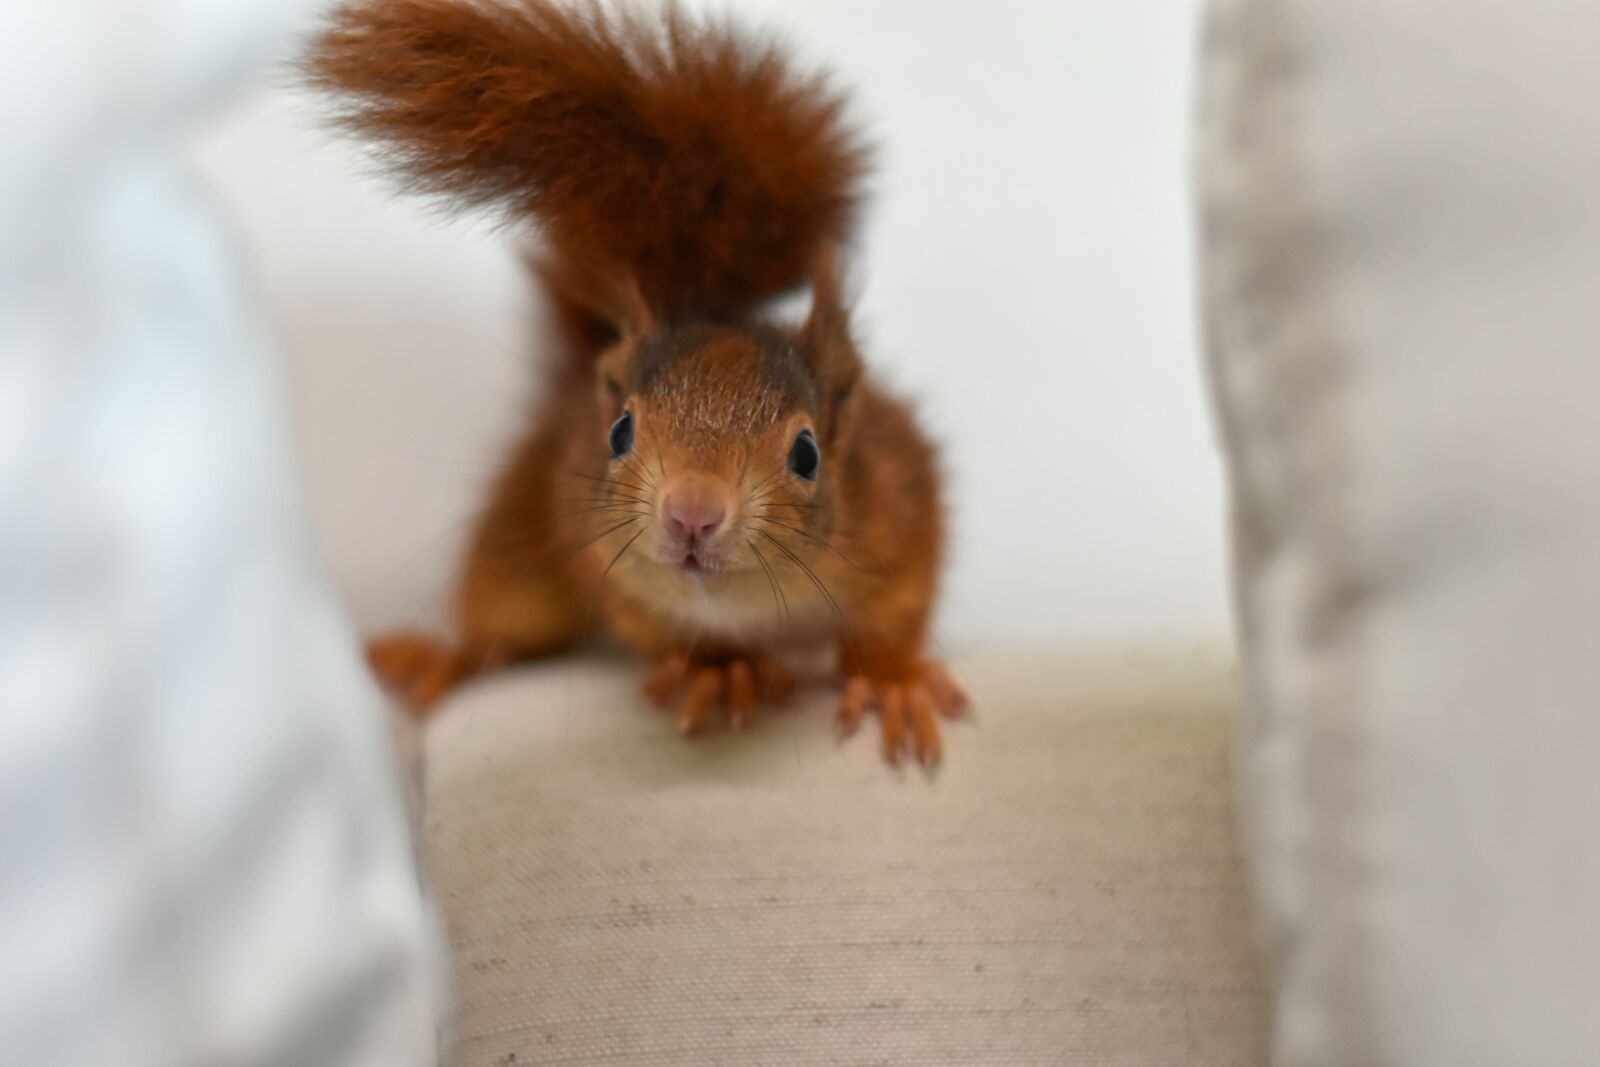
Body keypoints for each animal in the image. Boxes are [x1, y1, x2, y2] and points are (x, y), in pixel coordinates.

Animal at [309, 0, 968, 765]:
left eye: (807, 454)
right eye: (620, 432)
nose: (692, 513)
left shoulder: (900, 499)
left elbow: (897, 610)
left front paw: (891, 677)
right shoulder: (590, 543)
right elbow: (654, 626)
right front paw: (720, 667)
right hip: (517, 546)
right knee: (499, 625)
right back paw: (450, 658)